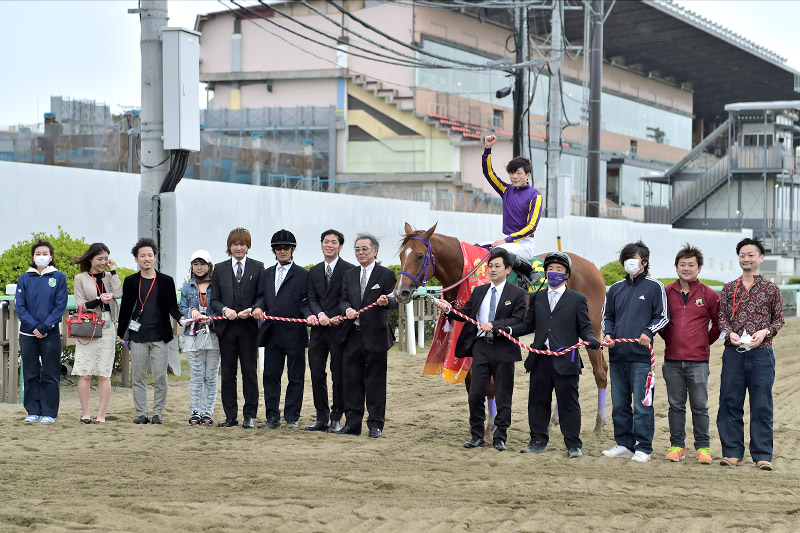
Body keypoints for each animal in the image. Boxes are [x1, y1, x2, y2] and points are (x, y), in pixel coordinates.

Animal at [396, 220, 612, 432]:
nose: (401, 292)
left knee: (600, 370)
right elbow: (470, 382)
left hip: (592, 328)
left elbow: (489, 385)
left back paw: (599, 424)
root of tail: (593, 267)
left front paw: (491, 426)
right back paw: (555, 420)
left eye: (420, 256)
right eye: (401, 255)